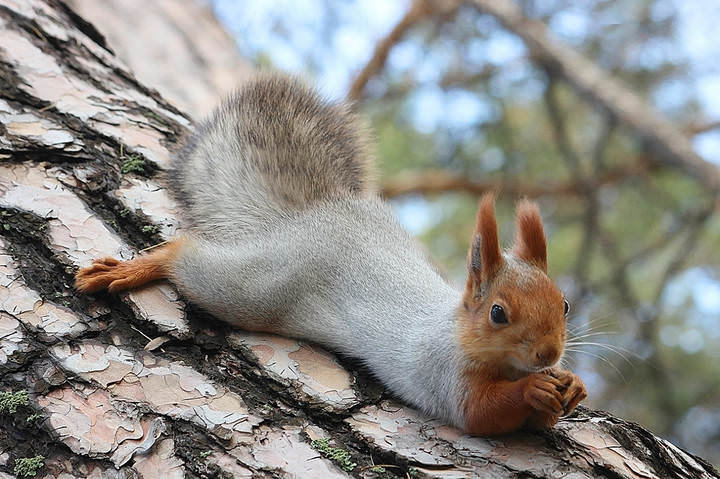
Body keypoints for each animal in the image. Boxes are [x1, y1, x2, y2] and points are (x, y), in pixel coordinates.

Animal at [75, 72, 587, 435]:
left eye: (563, 304)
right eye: (498, 313)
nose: (549, 353)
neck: (459, 328)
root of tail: (304, 218)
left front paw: (571, 386)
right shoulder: (446, 376)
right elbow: (483, 415)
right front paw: (533, 387)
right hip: (256, 289)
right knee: (188, 257)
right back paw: (138, 267)